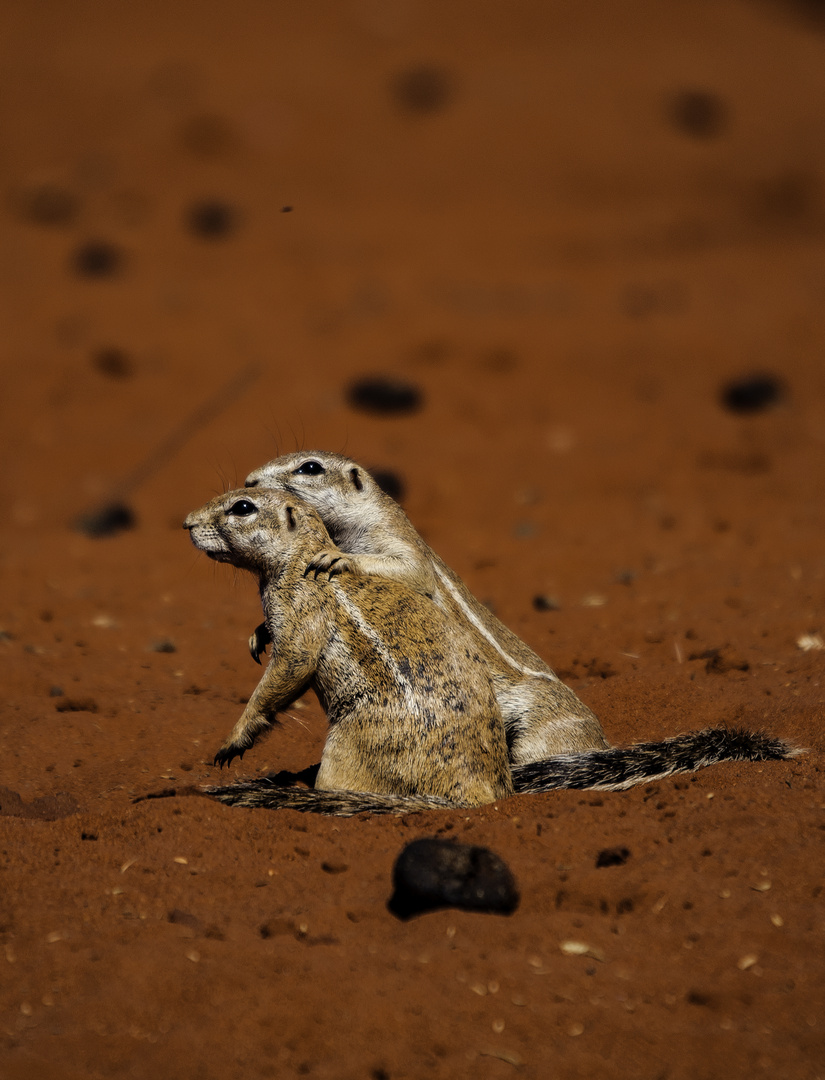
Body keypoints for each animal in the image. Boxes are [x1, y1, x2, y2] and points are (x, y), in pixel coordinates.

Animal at [183, 486, 794, 812]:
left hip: (348, 747)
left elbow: (284, 674)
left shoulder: (300, 616)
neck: (301, 554)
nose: (186, 522)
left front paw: (234, 741)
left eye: (242, 507)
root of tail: (487, 795)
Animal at [241, 451, 609, 764]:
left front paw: (339, 558)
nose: (249, 481)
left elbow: (411, 570)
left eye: (310, 467)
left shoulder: (398, 541)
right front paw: (260, 633)